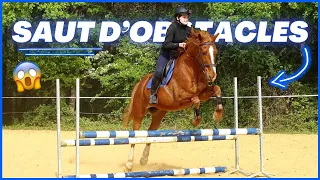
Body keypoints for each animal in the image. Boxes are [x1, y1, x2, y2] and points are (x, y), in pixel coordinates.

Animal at [122, 27, 222, 171]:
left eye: (215, 52)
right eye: (203, 52)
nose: (212, 76)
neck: (192, 69)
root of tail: (139, 84)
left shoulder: (203, 93)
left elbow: (216, 89)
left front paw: (218, 114)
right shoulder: (180, 97)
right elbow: (196, 100)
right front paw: (196, 120)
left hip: (158, 114)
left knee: (151, 132)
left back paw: (144, 159)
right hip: (139, 112)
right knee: (135, 133)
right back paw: (129, 164)